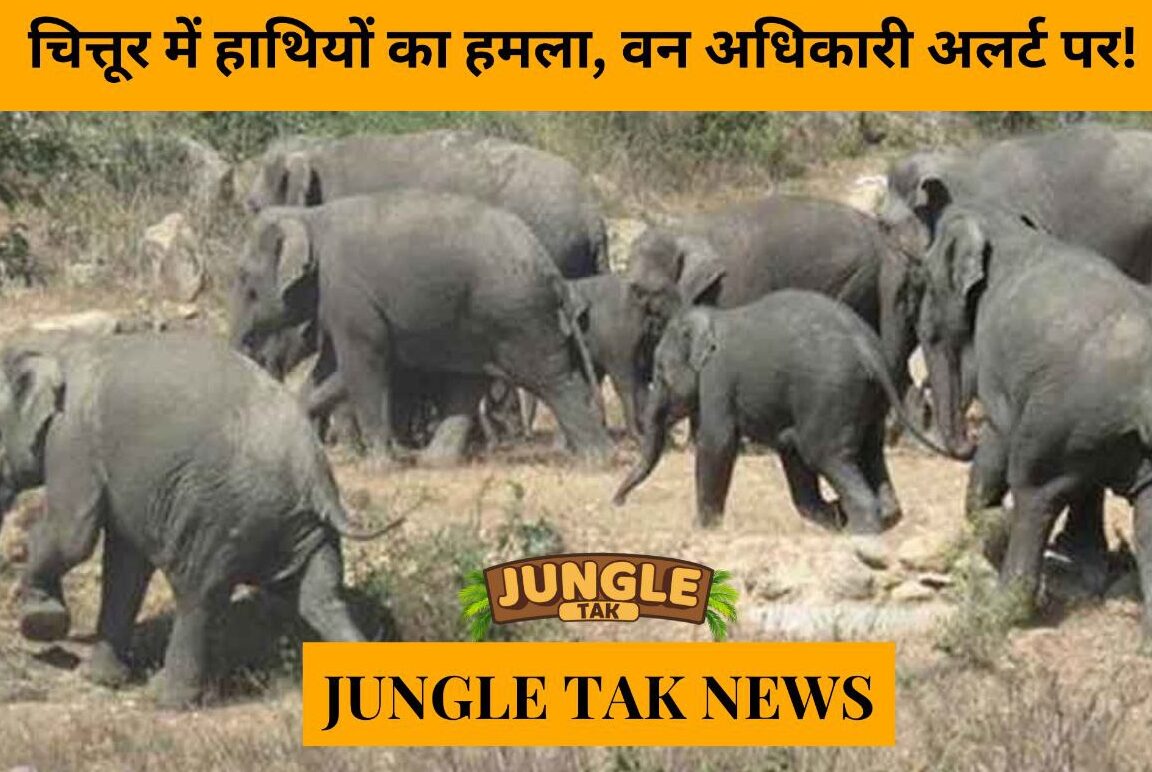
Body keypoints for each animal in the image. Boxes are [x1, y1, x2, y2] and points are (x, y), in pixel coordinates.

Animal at [0, 333, 397, 707]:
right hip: (304, 527)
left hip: (217, 514)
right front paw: (99, 679)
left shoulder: (72, 439)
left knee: (198, 594)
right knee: (320, 597)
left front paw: (40, 622)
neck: (55, 347)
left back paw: (166, 698)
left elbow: (73, 534)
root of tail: (314, 473)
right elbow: (125, 564)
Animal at [230, 191, 612, 467]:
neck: (309, 217)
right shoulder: (340, 304)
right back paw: (435, 461)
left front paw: (379, 467)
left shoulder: (349, 294)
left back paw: (595, 459)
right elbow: (331, 372)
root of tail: (550, 268)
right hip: (479, 321)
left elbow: (362, 366)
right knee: (470, 381)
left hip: (518, 317)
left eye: (245, 281)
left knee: (552, 377)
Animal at [613, 290, 948, 533]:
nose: (618, 502)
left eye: (659, 372)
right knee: (868, 451)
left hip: (831, 393)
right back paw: (879, 516)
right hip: (867, 400)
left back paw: (860, 530)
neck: (710, 316)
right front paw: (832, 512)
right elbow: (789, 449)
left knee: (824, 453)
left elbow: (717, 442)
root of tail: (870, 350)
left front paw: (701, 528)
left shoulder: (718, 378)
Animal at [917, 202, 1152, 634]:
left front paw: (992, 520)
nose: (964, 443)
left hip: (1063, 419)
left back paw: (1000, 609)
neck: (1009, 227)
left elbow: (999, 435)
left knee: (1034, 491)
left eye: (924, 279)